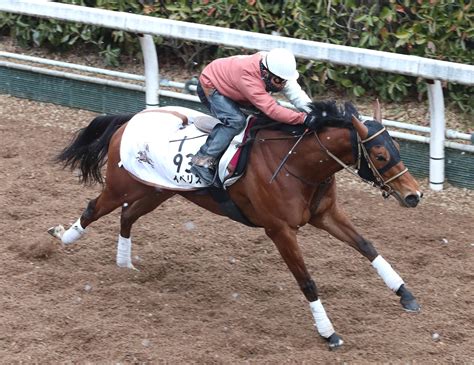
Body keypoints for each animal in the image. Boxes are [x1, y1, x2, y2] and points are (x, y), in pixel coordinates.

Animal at [50, 99, 424, 346]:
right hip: (122, 186)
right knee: (94, 208)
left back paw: (124, 263)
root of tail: (133, 118)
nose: (414, 195)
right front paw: (328, 332)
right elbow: (307, 281)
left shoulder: (325, 214)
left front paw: (405, 294)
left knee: (127, 215)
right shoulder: (280, 230)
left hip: (158, 190)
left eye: (397, 147)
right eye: (380, 155)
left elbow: (367, 246)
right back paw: (60, 238)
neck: (298, 165)